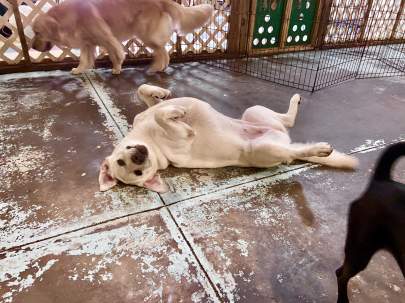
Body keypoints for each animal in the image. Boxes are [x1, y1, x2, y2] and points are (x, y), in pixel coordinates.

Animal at [31, 0, 213, 74]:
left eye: (37, 33)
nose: (32, 46)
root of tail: (162, 1)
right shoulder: (87, 43)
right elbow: (84, 59)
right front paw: (79, 69)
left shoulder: (107, 38)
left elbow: (115, 55)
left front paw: (117, 69)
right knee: (164, 52)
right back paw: (161, 67)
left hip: (145, 34)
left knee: (161, 51)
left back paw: (155, 68)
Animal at [98, 84, 356, 192]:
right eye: (137, 173)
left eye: (120, 161)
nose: (139, 157)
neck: (150, 140)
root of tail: (283, 139)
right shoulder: (183, 135)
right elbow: (164, 116)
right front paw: (177, 113)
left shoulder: (148, 113)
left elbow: (146, 94)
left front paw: (161, 94)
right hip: (262, 149)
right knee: (293, 153)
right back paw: (320, 149)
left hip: (255, 112)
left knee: (288, 121)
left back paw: (296, 100)